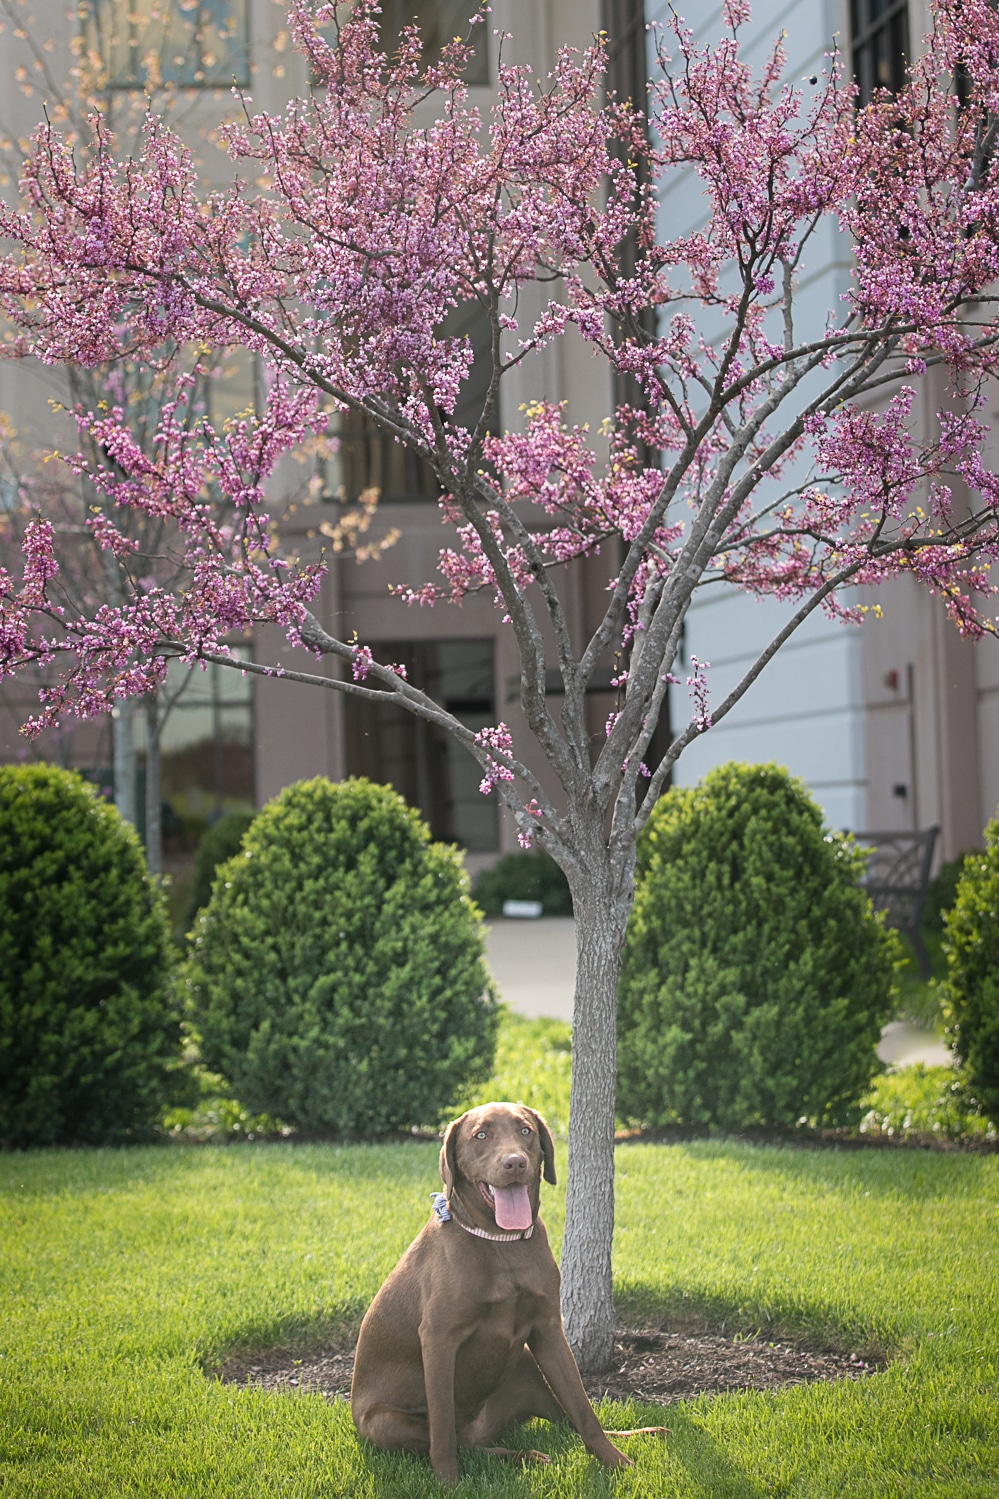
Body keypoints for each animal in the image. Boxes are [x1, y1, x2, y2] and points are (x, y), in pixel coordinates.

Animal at [349, 1103, 660, 1487]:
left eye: (525, 1131)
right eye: (480, 1135)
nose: (514, 1163)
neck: (502, 1243)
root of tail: (481, 1428)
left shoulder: (548, 1329)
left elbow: (584, 1410)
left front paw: (617, 1463)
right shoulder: (438, 1340)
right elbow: (442, 1429)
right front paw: (448, 1484)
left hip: (527, 1364)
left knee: (562, 1419)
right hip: (384, 1422)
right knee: (461, 1443)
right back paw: (523, 1456)